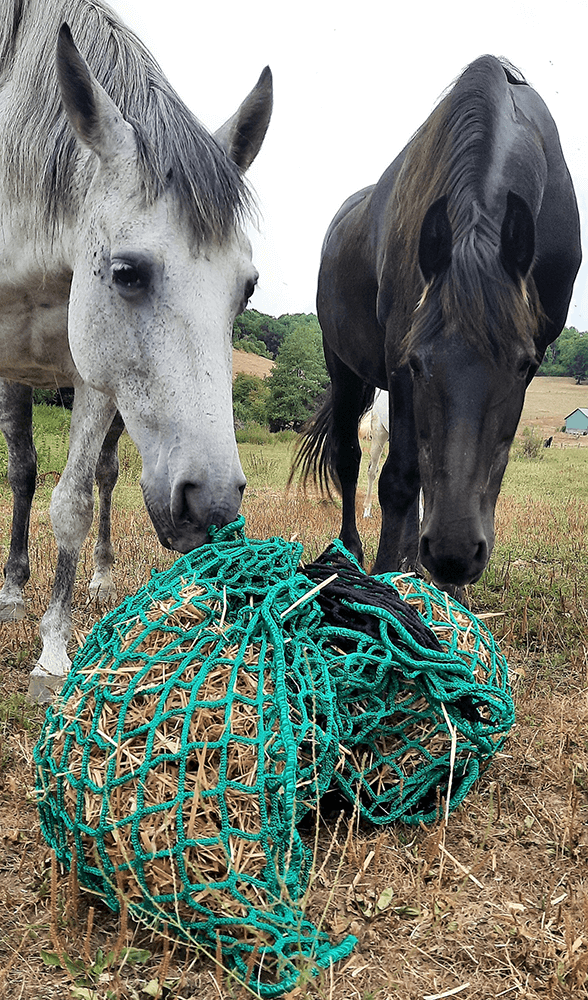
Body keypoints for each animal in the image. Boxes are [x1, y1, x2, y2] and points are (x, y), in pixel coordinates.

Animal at [296, 54, 580, 588]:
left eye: (523, 366)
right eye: (418, 363)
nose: (453, 552)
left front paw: (448, 593)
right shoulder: (398, 359)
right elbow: (400, 480)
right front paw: (385, 578)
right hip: (343, 368)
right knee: (350, 458)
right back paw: (354, 551)